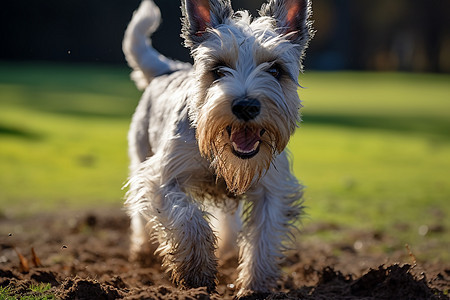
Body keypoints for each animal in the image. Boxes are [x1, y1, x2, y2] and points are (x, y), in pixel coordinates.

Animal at [122, 0, 312, 296]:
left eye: (275, 69)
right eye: (219, 69)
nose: (246, 106)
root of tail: (169, 69)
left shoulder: (273, 188)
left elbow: (264, 237)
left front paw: (255, 285)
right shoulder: (162, 177)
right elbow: (188, 219)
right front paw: (196, 271)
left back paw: (228, 251)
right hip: (140, 152)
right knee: (140, 215)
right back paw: (141, 252)